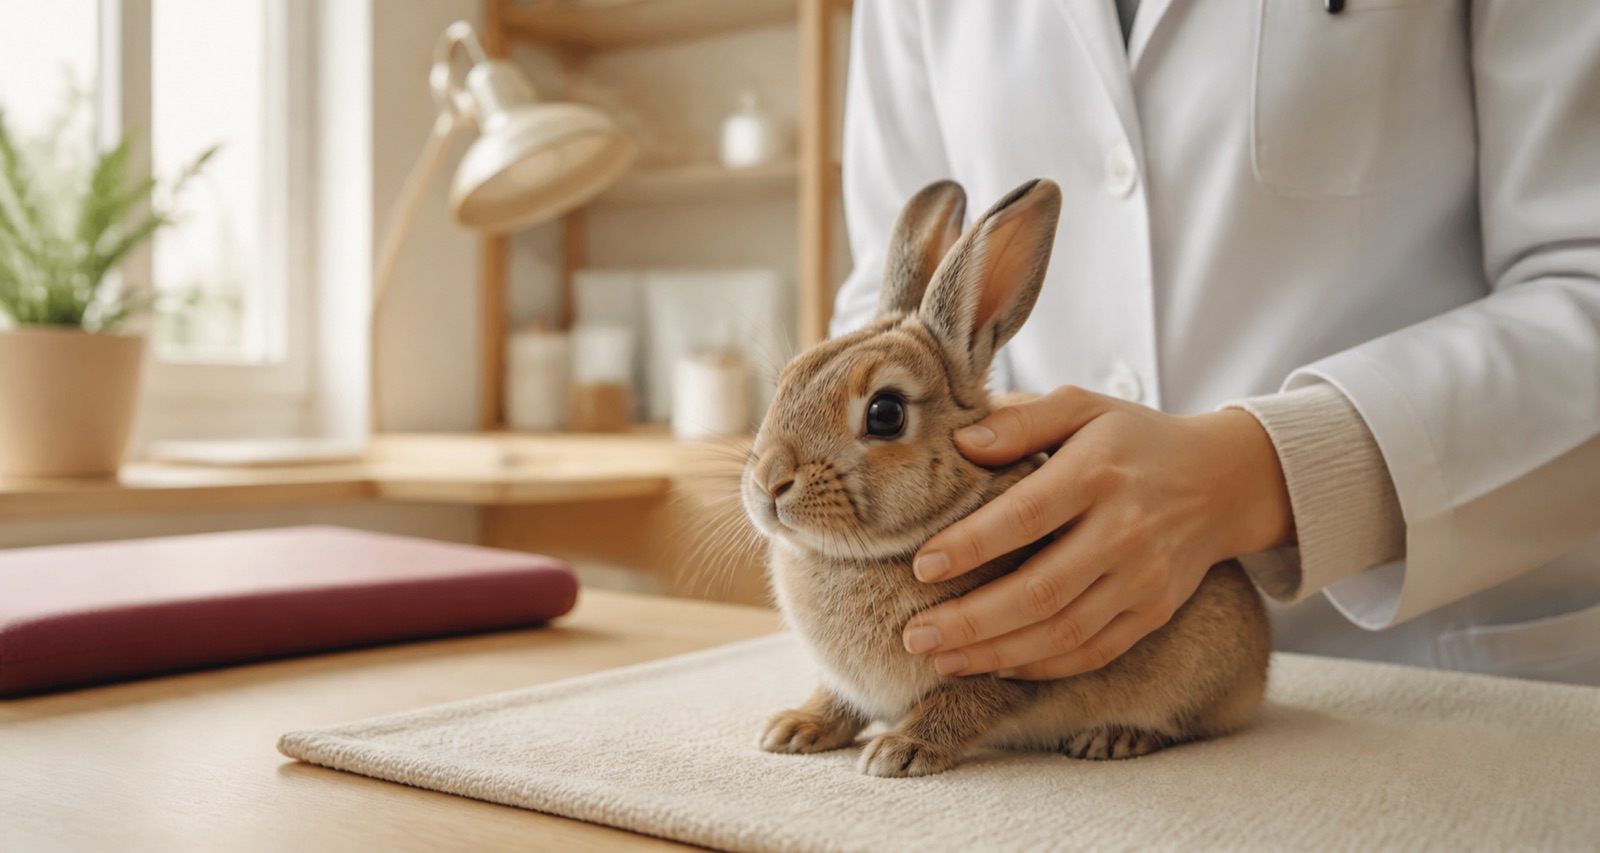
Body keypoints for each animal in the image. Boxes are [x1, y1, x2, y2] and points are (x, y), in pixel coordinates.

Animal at [742, 177, 1271, 778]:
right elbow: (838, 698)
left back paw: (1114, 737)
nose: (768, 483)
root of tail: (1259, 667)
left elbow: (967, 699)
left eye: (885, 413)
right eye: (789, 378)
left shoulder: (1016, 658)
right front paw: (794, 728)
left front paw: (901, 750)